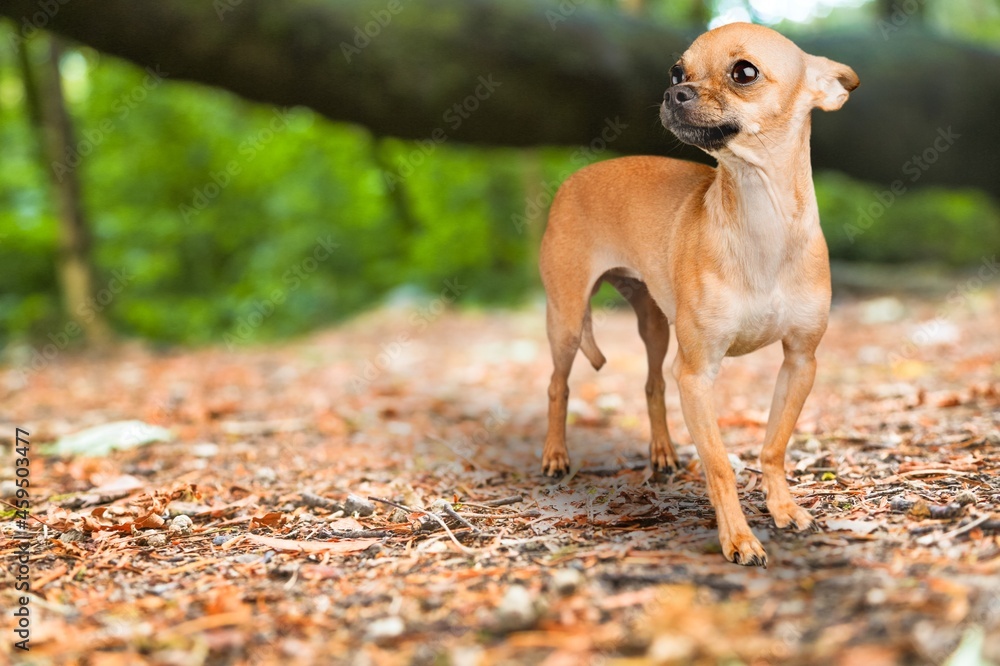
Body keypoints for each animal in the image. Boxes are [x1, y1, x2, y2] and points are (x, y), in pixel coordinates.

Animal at [540, 26, 860, 564]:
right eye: (676, 72)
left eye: (744, 72)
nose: (675, 93)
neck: (760, 220)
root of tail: (574, 178)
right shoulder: (697, 374)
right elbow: (720, 465)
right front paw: (738, 537)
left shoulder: (800, 362)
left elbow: (773, 447)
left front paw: (783, 509)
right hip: (567, 322)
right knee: (558, 385)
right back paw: (555, 455)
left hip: (654, 328)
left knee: (652, 385)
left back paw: (663, 453)